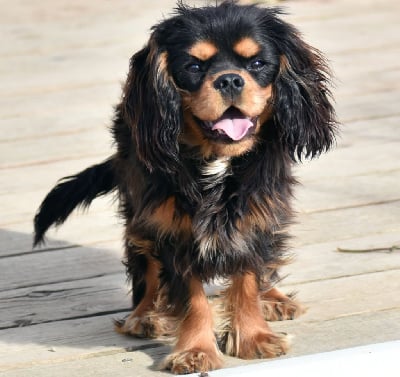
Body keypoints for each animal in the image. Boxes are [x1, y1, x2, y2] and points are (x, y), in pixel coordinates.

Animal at [33, 1, 338, 374]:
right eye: (193, 67)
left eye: (256, 63)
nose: (230, 79)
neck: (217, 160)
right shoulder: (171, 232)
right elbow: (192, 298)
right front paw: (195, 351)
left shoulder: (252, 220)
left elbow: (247, 280)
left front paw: (253, 337)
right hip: (140, 213)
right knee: (144, 265)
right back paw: (145, 315)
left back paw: (273, 298)